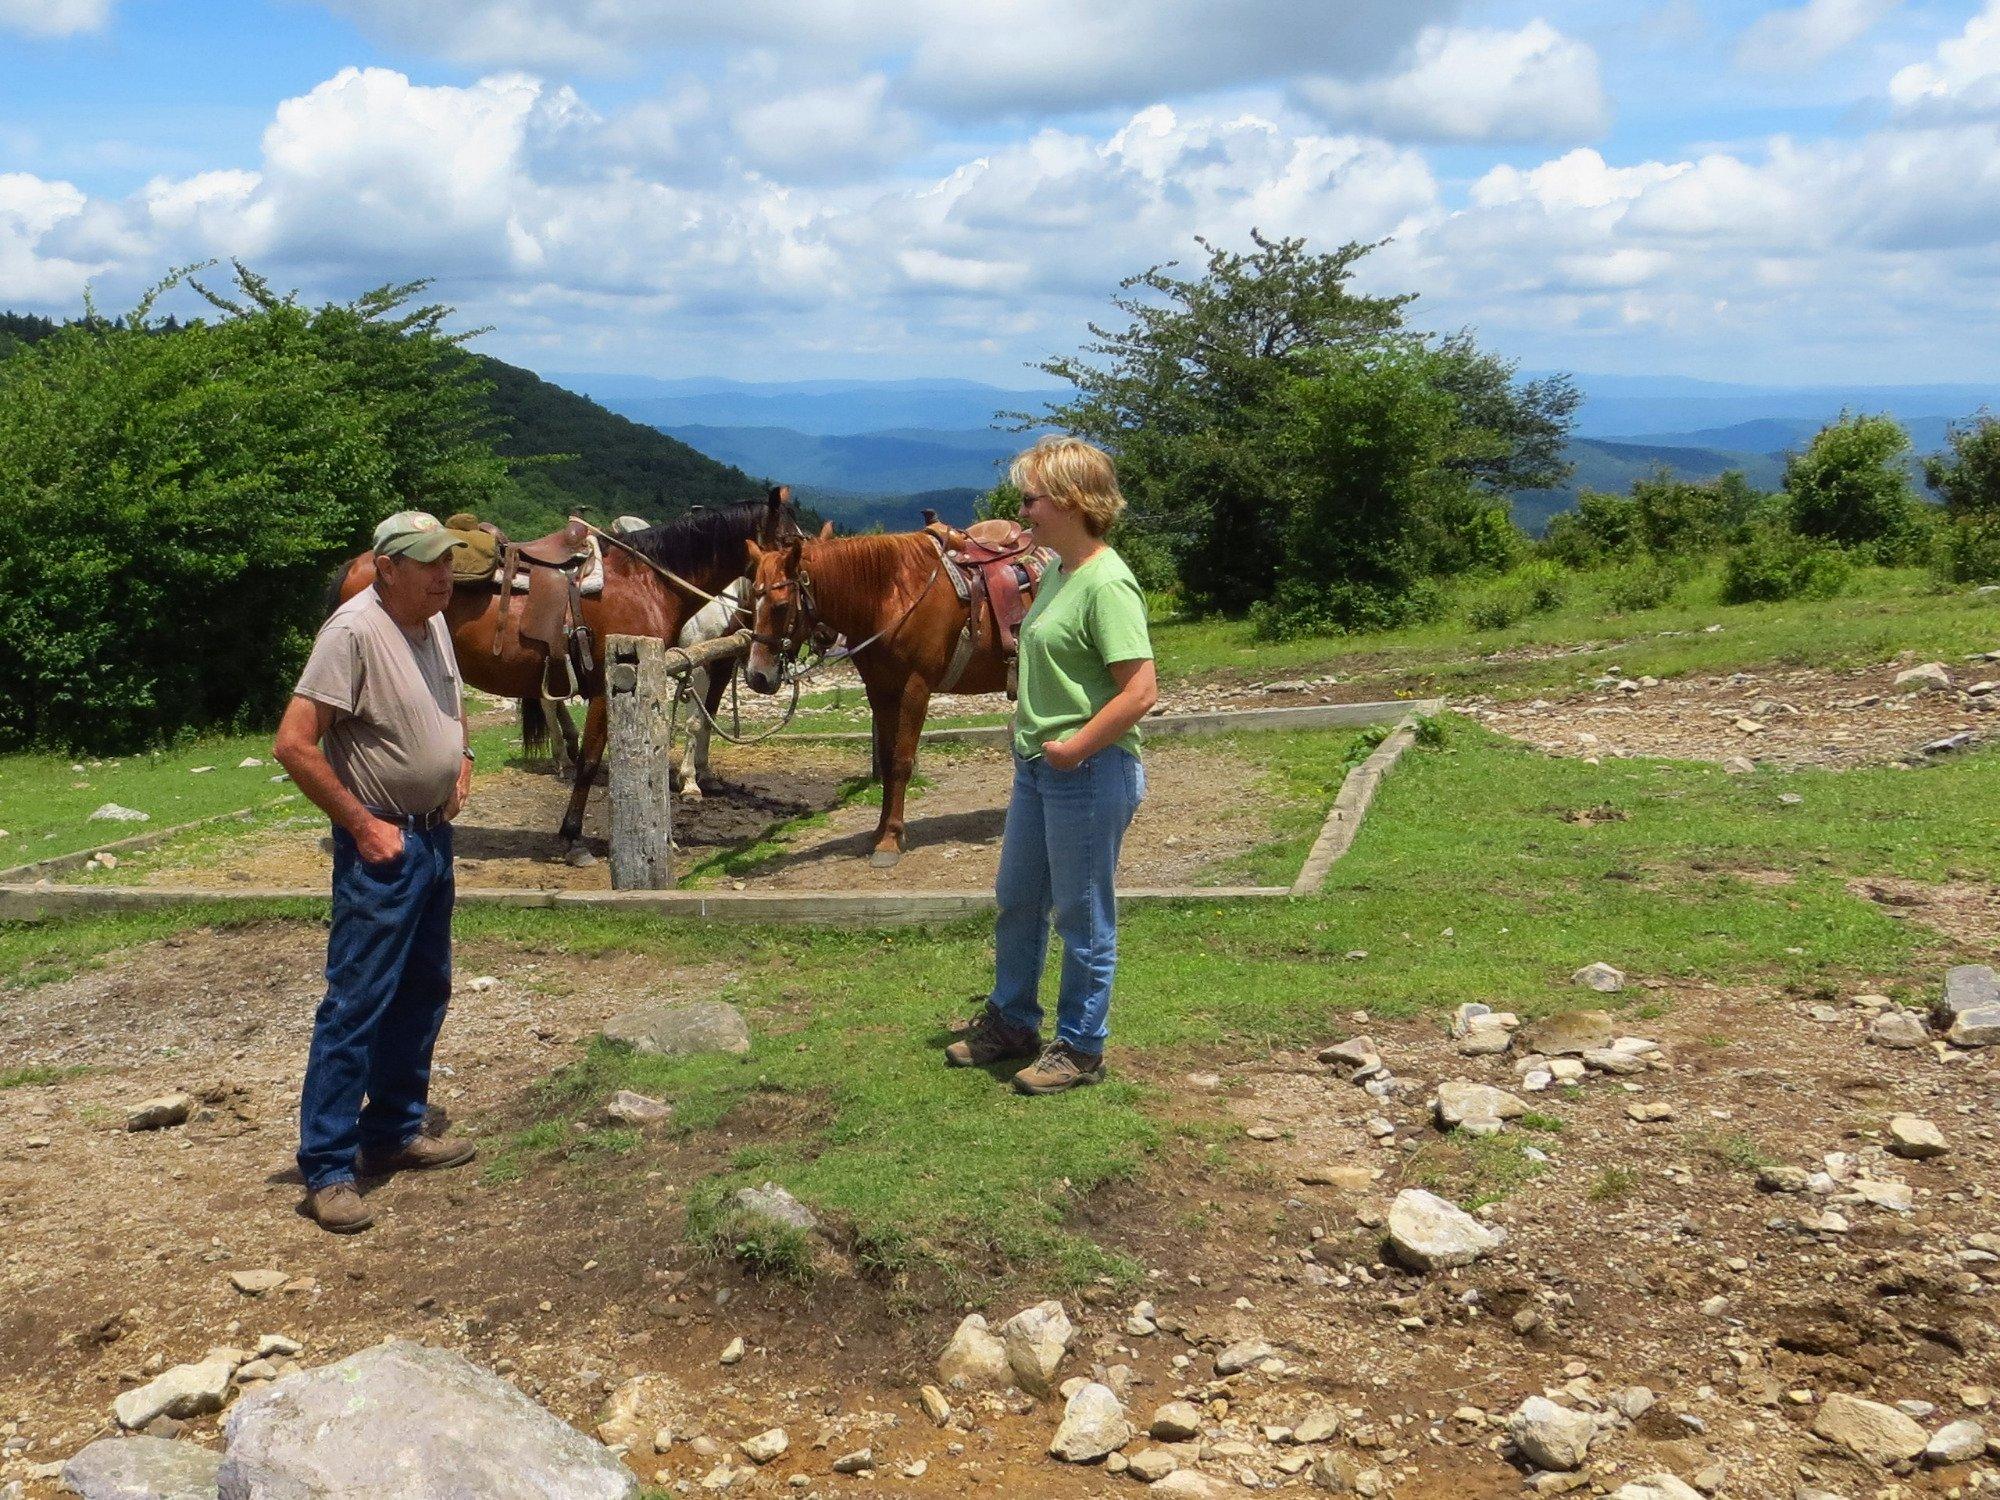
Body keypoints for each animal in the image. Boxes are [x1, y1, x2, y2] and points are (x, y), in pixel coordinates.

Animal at [328, 494, 796, 848]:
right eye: (791, 542)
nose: (770, 670)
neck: (646, 582)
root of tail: (357, 565)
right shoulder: (615, 686)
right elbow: (593, 760)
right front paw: (572, 835)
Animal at [744, 536, 1016, 868]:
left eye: (781, 606)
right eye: (751, 603)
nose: (756, 676)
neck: (893, 595)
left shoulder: (915, 689)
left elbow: (901, 762)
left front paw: (891, 839)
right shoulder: (882, 691)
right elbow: (886, 761)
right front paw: (880, 831)